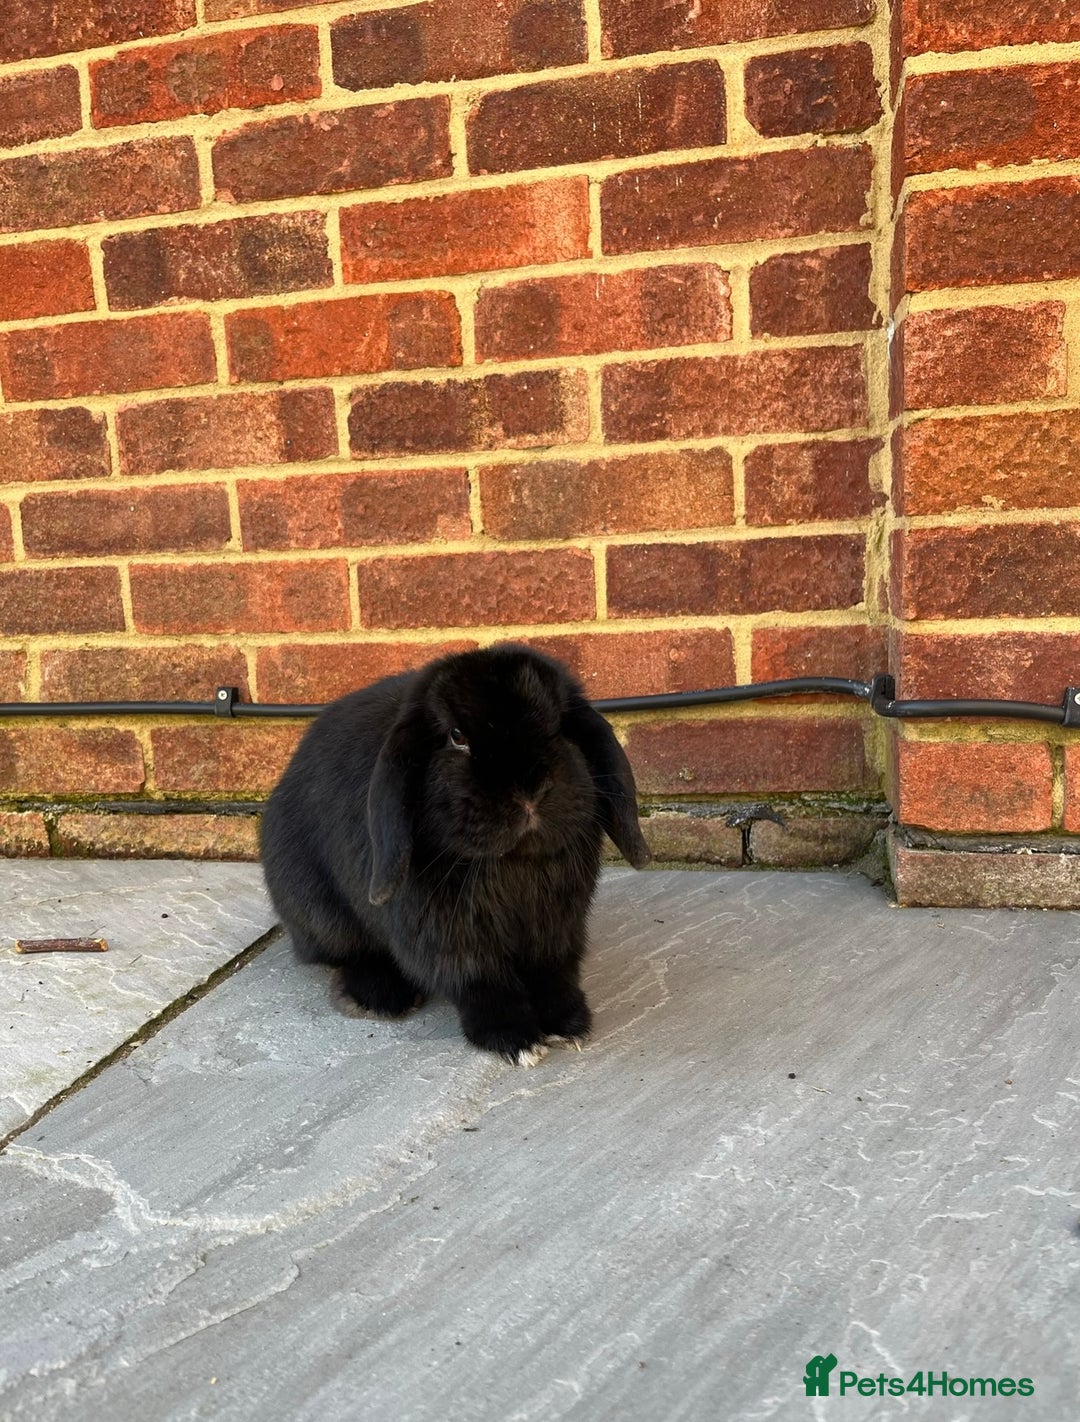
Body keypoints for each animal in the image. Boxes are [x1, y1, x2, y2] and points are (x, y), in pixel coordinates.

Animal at [259, 643, 650, 1066]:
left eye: (560, 723)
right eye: (457, 736)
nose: (528, 790)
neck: (509, 864)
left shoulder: (556, 927)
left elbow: (553, 973)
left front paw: (568, 1023)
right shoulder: (451, 939)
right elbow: (482, 984)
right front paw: (515, 1040)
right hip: (319, 911)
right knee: (346, 953)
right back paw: (380, 997)